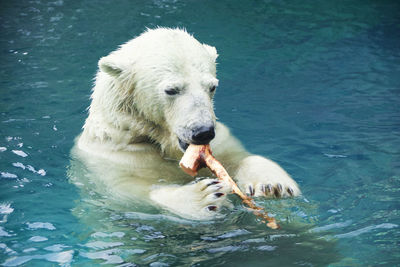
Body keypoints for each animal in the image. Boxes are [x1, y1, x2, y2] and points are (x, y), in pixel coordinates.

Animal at [73, 27, 300, 222]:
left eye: (212, 86)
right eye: (171, 90)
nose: (203, 132)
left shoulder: (220, 140)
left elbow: (238, 158)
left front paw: (273, 184)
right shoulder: (114, 159)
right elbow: (130, 192)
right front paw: (204, 197)